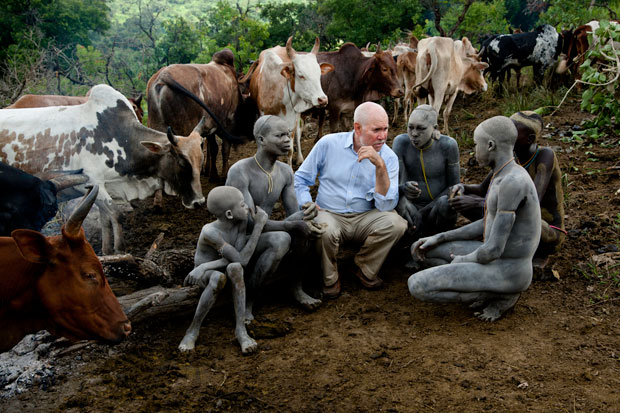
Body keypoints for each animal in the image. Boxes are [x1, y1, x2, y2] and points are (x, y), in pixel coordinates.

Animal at [0, 83, 205, 254]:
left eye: (201, 161)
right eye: (182, 162)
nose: (199, 202)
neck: (119, 137)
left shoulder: (103, 187)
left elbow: (105, 220)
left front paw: (106, 252)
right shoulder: (91, 182)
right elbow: (116, 214)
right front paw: (120, 250)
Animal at [147, 48, 256, 180]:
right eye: (252, 108)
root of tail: (164, 76)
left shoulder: (210, 127)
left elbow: (213, 148)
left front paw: (213, 174)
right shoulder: (227, 124)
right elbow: (224, 149)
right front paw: (224, 175)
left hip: (157, 128)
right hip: (185, 132)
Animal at [241, 35, 334, 164]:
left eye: (319, 74)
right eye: (301, 75)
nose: (322, 99)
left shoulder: (291, 121)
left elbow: (289, 149)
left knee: (299, 133)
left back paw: (299, 158)